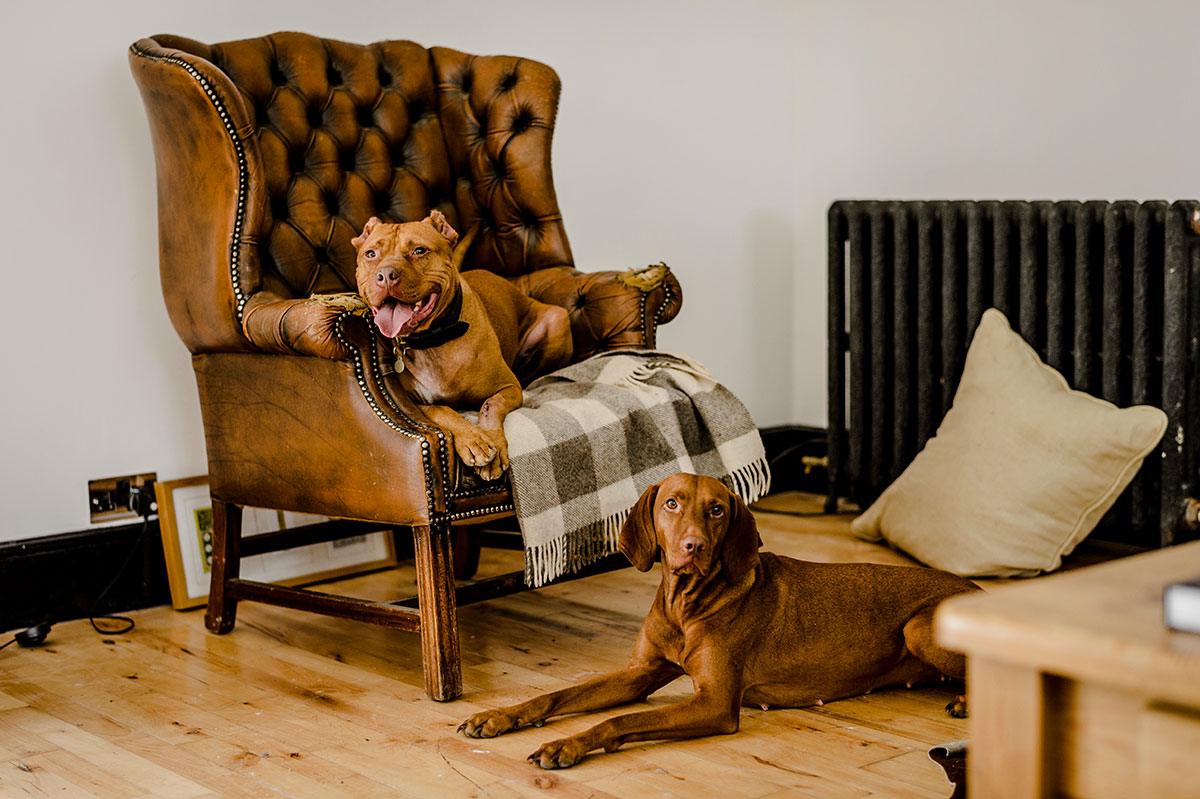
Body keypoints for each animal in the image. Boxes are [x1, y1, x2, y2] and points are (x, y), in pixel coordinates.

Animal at [350, 208, 571, 475]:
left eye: (419, 250)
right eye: (371, 254)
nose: (386, 275)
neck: (432, 340)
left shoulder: (509, 387)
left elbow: (491, 404)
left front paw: (491, 440)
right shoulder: (410, 403)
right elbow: (441, 410)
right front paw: (473, 439)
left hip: (557, 319)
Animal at [463, 472, 979, 767]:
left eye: (716, 509)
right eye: (671, 503)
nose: (693, 546)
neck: (686, 606)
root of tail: (979, 591)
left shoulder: (714, 703)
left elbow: (619, 720)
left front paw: (565, 745)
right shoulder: (639, 673)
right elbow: (555, 695)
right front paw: (499, 716)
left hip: (918, 627)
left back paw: (965, 702)